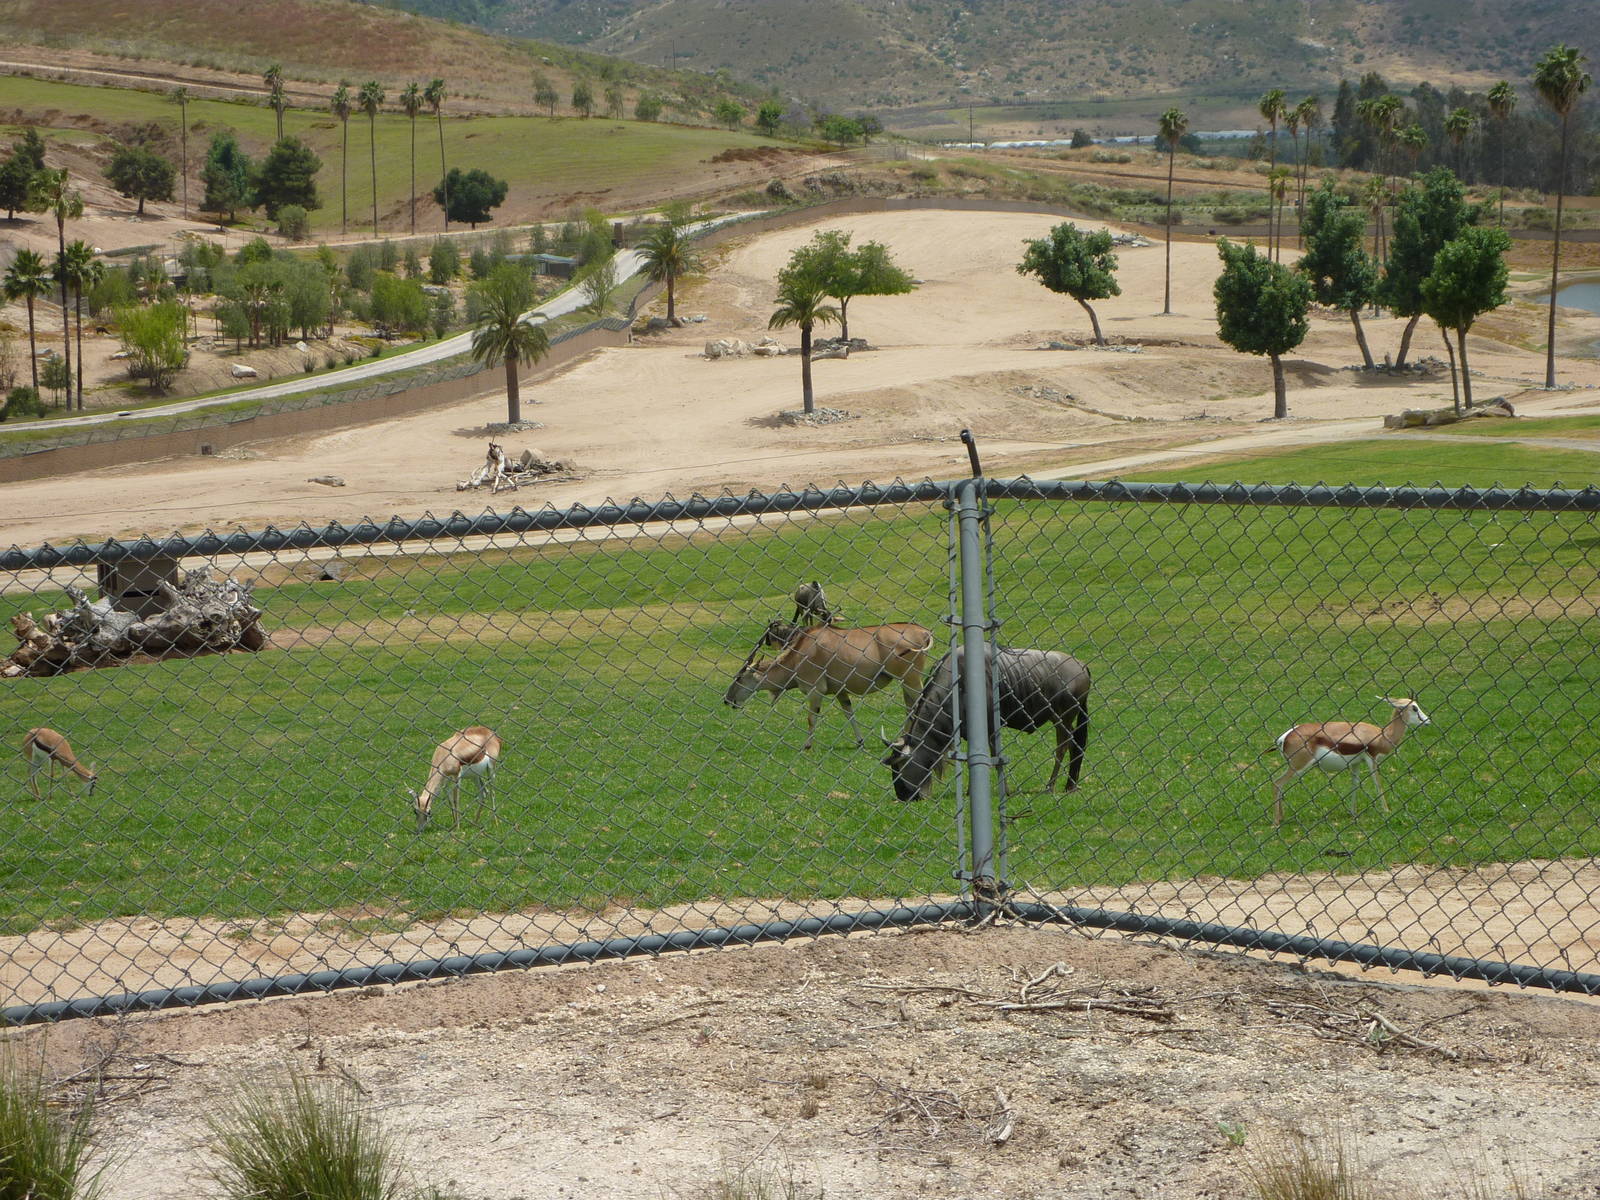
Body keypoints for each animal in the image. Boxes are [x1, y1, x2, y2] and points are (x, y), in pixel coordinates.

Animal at [1270, 697, 1431, 828]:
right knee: (1277, 783)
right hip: (1298, 766)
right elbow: (1378, 784)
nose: (1428, 721)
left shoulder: (1355, 764)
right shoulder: (1371, 759)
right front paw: (1386, 811)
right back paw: (1276, 821)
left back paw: (1282, 817)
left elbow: (1355, 785)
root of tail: (1285, 736)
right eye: (1414, 708)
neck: (1382, 735)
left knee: (1280, 786)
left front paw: (1353, 813)